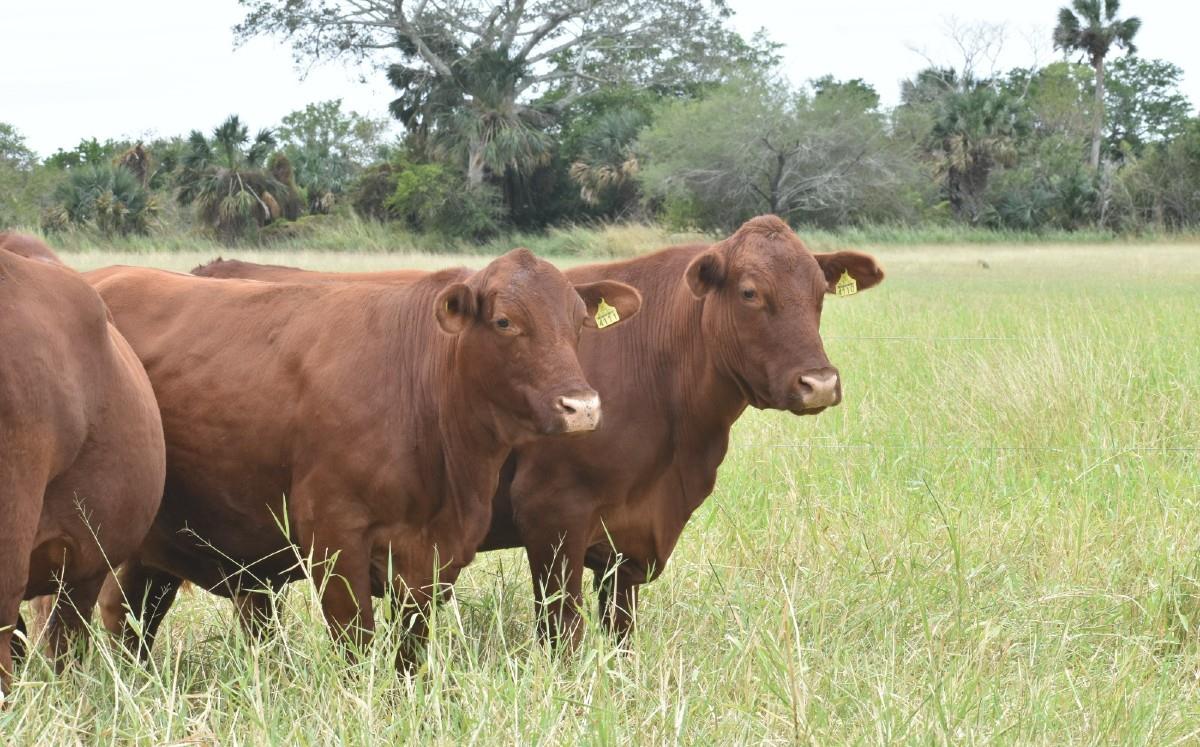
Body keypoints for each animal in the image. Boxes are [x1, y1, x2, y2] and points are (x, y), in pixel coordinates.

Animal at [85, 252, 643, 667]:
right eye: (505, 321)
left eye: (579, 324)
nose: (581, 407)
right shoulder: (332, 536)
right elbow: (355, 645)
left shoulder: (431, 558)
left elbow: (410, 652)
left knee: (128, 616)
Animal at [184, 216, 883, 648]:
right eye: (749, 292)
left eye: (821, 292)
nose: (819, 383)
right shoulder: (553, 517)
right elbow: (563, 634)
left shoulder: (630, 537)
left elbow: (620, 632)